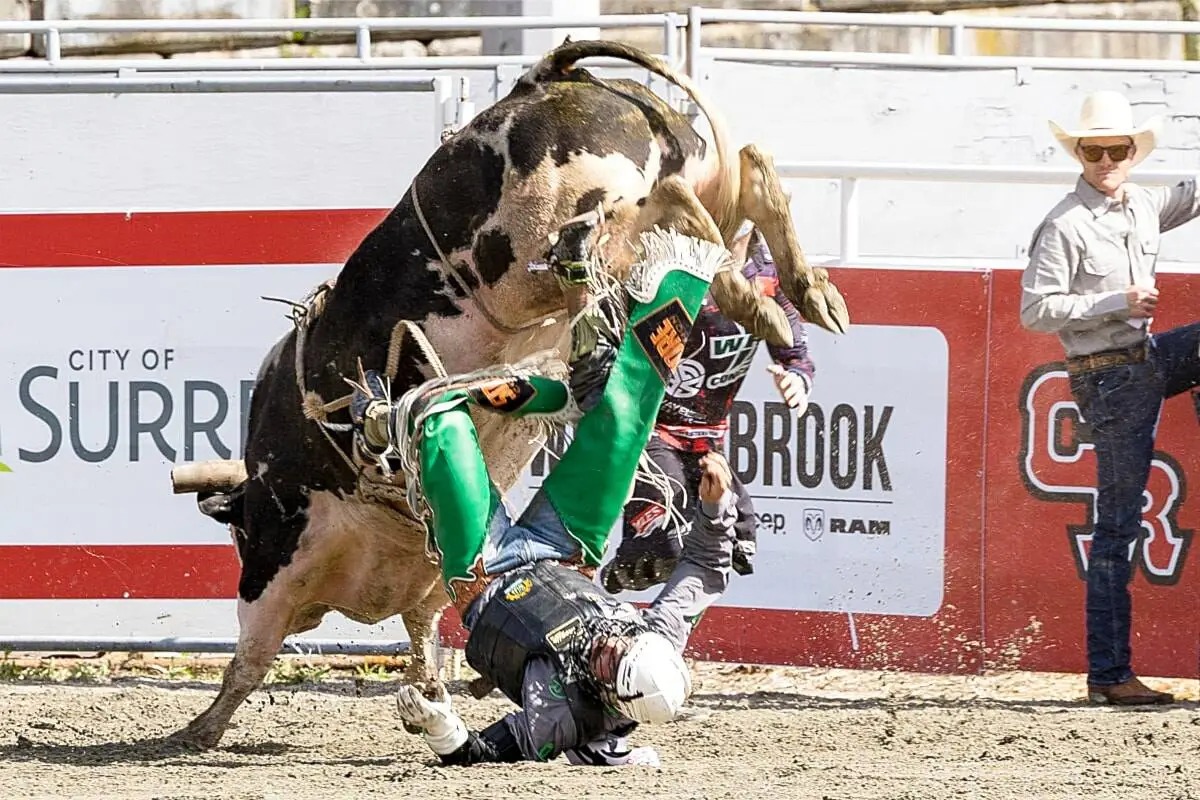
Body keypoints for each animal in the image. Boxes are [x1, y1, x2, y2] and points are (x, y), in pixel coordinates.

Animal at [167, 38, 849, 750]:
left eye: (240, 533)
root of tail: (548, 79)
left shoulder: (277, 557)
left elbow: (251, 653)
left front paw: (198, 731)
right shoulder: (423, 575)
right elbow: (423, 638)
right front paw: (431, 697)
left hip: (569, 221)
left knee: (668, 222)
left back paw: (759, 301)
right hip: (696, 189)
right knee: (737, 189)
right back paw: (798, 296)